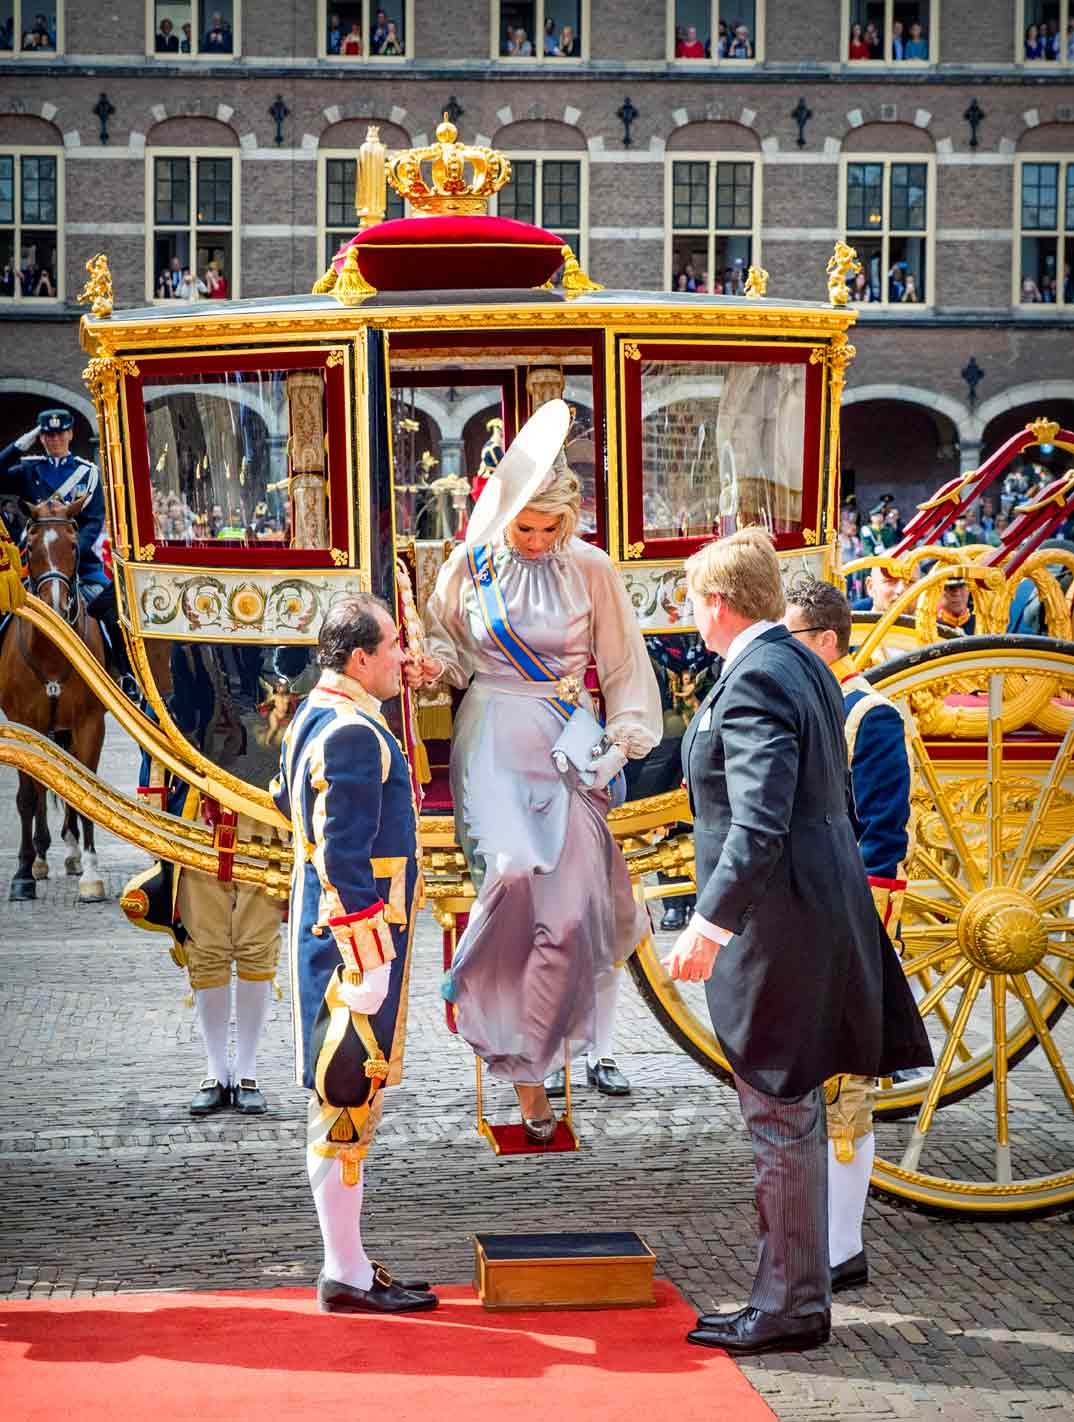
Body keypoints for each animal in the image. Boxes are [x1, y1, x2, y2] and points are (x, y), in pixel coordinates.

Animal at [0, 494, 107, 898]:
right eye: (30, 547)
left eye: (74, 546)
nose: (57, 607)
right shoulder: (22, 723)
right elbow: (28, 796)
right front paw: (23, 873)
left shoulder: (89, 723)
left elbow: (85, 788)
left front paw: (91, 874)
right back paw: (42, 857)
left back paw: (72, 853)